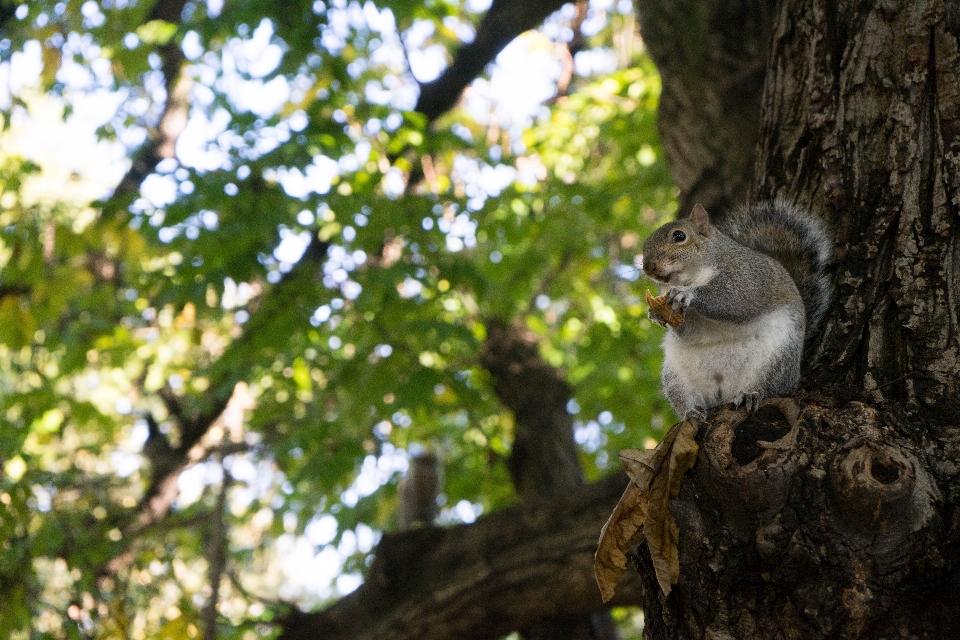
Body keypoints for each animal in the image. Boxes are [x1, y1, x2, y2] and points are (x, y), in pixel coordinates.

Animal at [640, 201, 836, 420]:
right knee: (688, 398)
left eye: (679, 236)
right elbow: (688, 331)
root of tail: (723, 391)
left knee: (771, 387)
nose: (648, 267)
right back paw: (691, 412)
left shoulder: (747, 276)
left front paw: (686, 294)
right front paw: (655, 314)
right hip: (676, 378)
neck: (695, 275)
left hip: (775, 361)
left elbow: (735, 301)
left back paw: (751, 394)